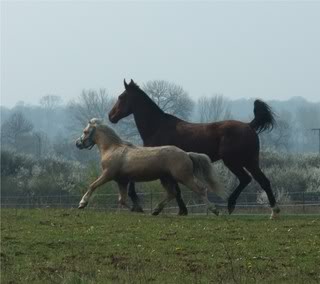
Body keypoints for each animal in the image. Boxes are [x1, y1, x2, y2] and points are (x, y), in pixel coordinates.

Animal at [75, 118, 225, 214]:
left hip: (184, 177)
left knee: (200, 189)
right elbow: (122, 200)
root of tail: (186, 154)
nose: (78, 143)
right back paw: (156, 210)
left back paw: (214, 210)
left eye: (85, 131)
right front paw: (137, 209)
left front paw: (82, 203)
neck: (112, 148)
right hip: (166, 179)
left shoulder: (107, 174)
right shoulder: (122, 181)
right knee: (172, 194)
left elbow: (92, 186)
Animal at [109, 79, 280, 219]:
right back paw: (271, 211)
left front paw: (140, 206)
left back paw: (235, 206)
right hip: (250, 162)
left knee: (248, 179)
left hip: (234, 162)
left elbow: (170, 189)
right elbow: (175, 190)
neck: (157, 127)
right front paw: (182, 211)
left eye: (121, 97)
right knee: (262, 181)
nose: (111, 116)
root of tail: (249, 126)